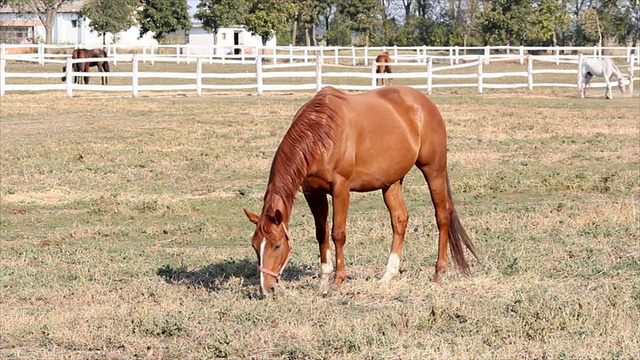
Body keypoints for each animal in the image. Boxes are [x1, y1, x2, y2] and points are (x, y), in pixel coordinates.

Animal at [242, 86, 478, 296]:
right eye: (254, 246)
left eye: (277, 246)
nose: (266, 289)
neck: (321, 133)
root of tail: (425, 103)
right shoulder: (313, 192)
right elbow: (321, 234)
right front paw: (323, 282)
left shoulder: (341, 188)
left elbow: (338, 234)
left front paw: (337, 283)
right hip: (391, 183)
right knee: (400, 220)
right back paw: (388, 275)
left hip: (433, 170)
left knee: (442, 216)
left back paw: (438, 274)